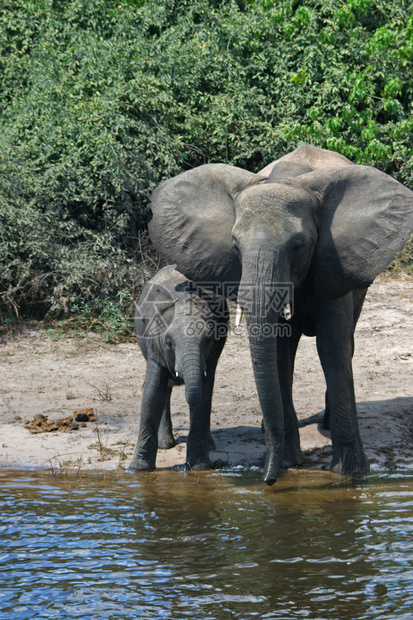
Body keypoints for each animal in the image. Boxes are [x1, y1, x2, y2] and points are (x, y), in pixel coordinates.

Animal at [128, 264, 227, 472]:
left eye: (207, 340)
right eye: (168, 343)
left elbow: (205, 394)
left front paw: (198, 468)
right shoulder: (154, 342)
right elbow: (152, 392)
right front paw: (137, 470)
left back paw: (209, 445)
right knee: (164, 390)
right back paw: (166, 445)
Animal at [148, 144, 412, 484]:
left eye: (298, 245)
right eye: (234, 246)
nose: (267, 480)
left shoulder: (332, 261)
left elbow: (332, 348)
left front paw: (350, 474)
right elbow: (279, 351)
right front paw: (288, 463)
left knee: (346, 344)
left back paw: (324, 427)